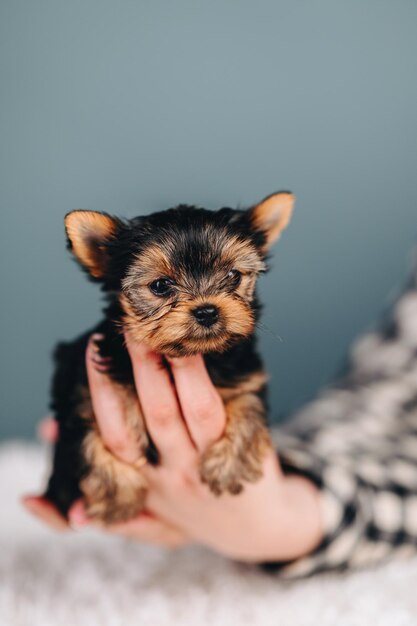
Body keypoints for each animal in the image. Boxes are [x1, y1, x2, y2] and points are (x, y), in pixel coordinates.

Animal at [44, 190, 294, 520]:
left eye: (233, 275)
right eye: (161, 285)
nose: (207, 311)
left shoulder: (245, 376)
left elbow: (249, 405)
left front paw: (229, 465)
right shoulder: (81, 387)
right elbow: (85, 433)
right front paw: (118, 497)